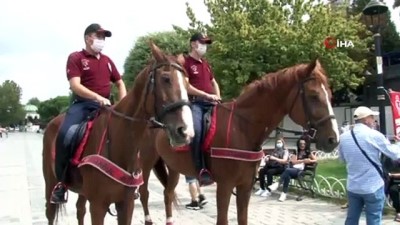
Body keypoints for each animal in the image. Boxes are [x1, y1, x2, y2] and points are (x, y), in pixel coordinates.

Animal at [42, 42, 195, 225]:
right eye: (166, 79)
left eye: (187, 83)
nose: (185, 131)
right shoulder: (98, 205)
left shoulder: (126, 204)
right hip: (50, 182)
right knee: (51, 213)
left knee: (80, 209)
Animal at [138, 58, 340, 225]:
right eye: (314, 96)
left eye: (330, 95)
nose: (333, 139)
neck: (242, 128)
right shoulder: (225, 186)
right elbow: (222, 220)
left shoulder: (245, 186)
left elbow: (243, 218)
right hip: (145, 164)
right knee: (143, 193)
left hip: (173, 167)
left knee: (168, 194)